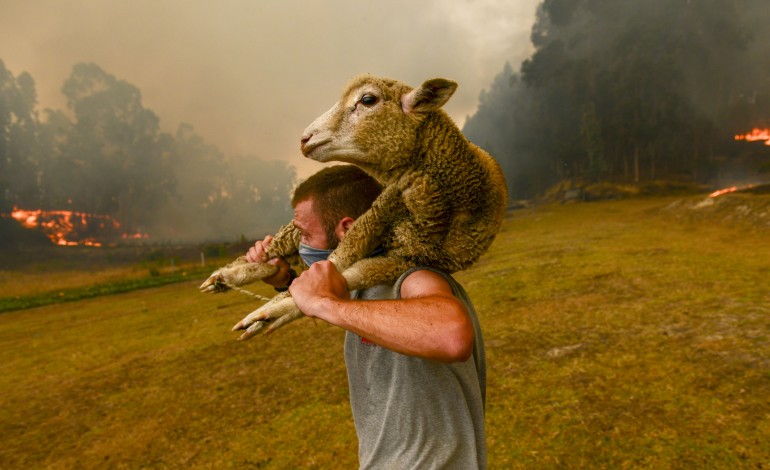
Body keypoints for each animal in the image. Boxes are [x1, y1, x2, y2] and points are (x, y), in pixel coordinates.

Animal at [201, 73, 508, 340]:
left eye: (368, 99)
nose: (304, 139)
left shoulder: (407, 260)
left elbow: (347, 276)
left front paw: (274, 312)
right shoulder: (382, 207)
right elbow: (340, 258)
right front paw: (271, 306)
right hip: (305, 226)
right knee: (272, 249)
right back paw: (225, 276)